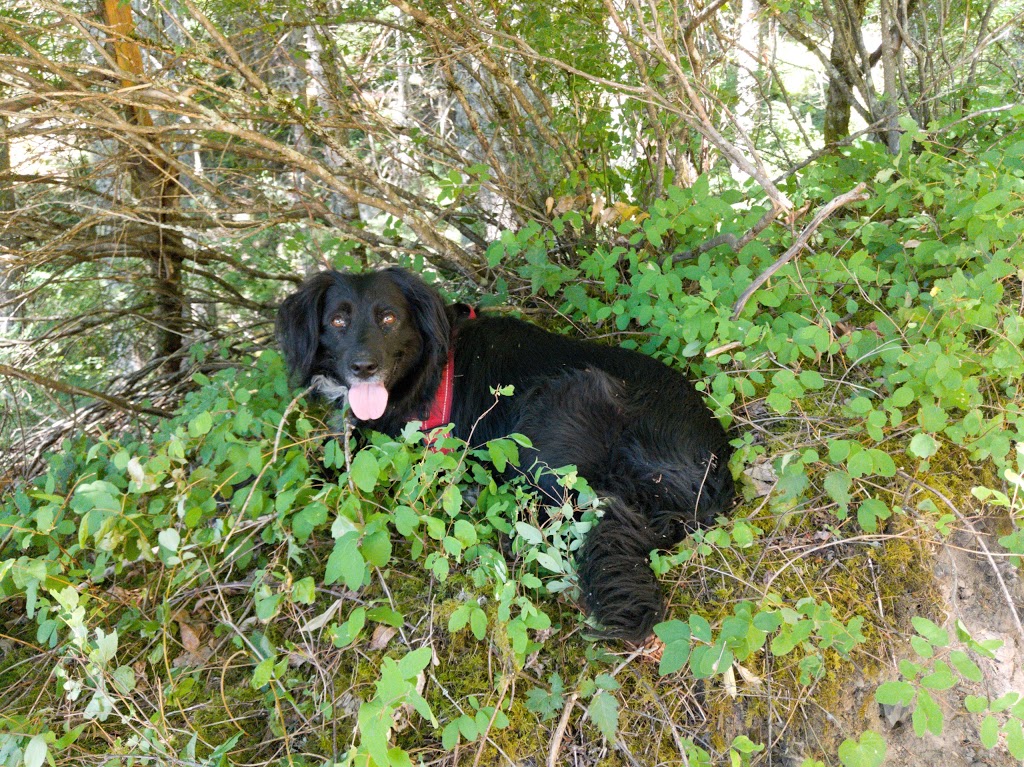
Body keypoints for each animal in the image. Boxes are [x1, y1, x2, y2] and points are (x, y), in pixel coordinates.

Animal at [276, 268, 733, 638]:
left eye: (388, 318)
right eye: (338, 321)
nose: (363, 366)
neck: (431, 369)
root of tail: (708, 473)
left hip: (556, 409)